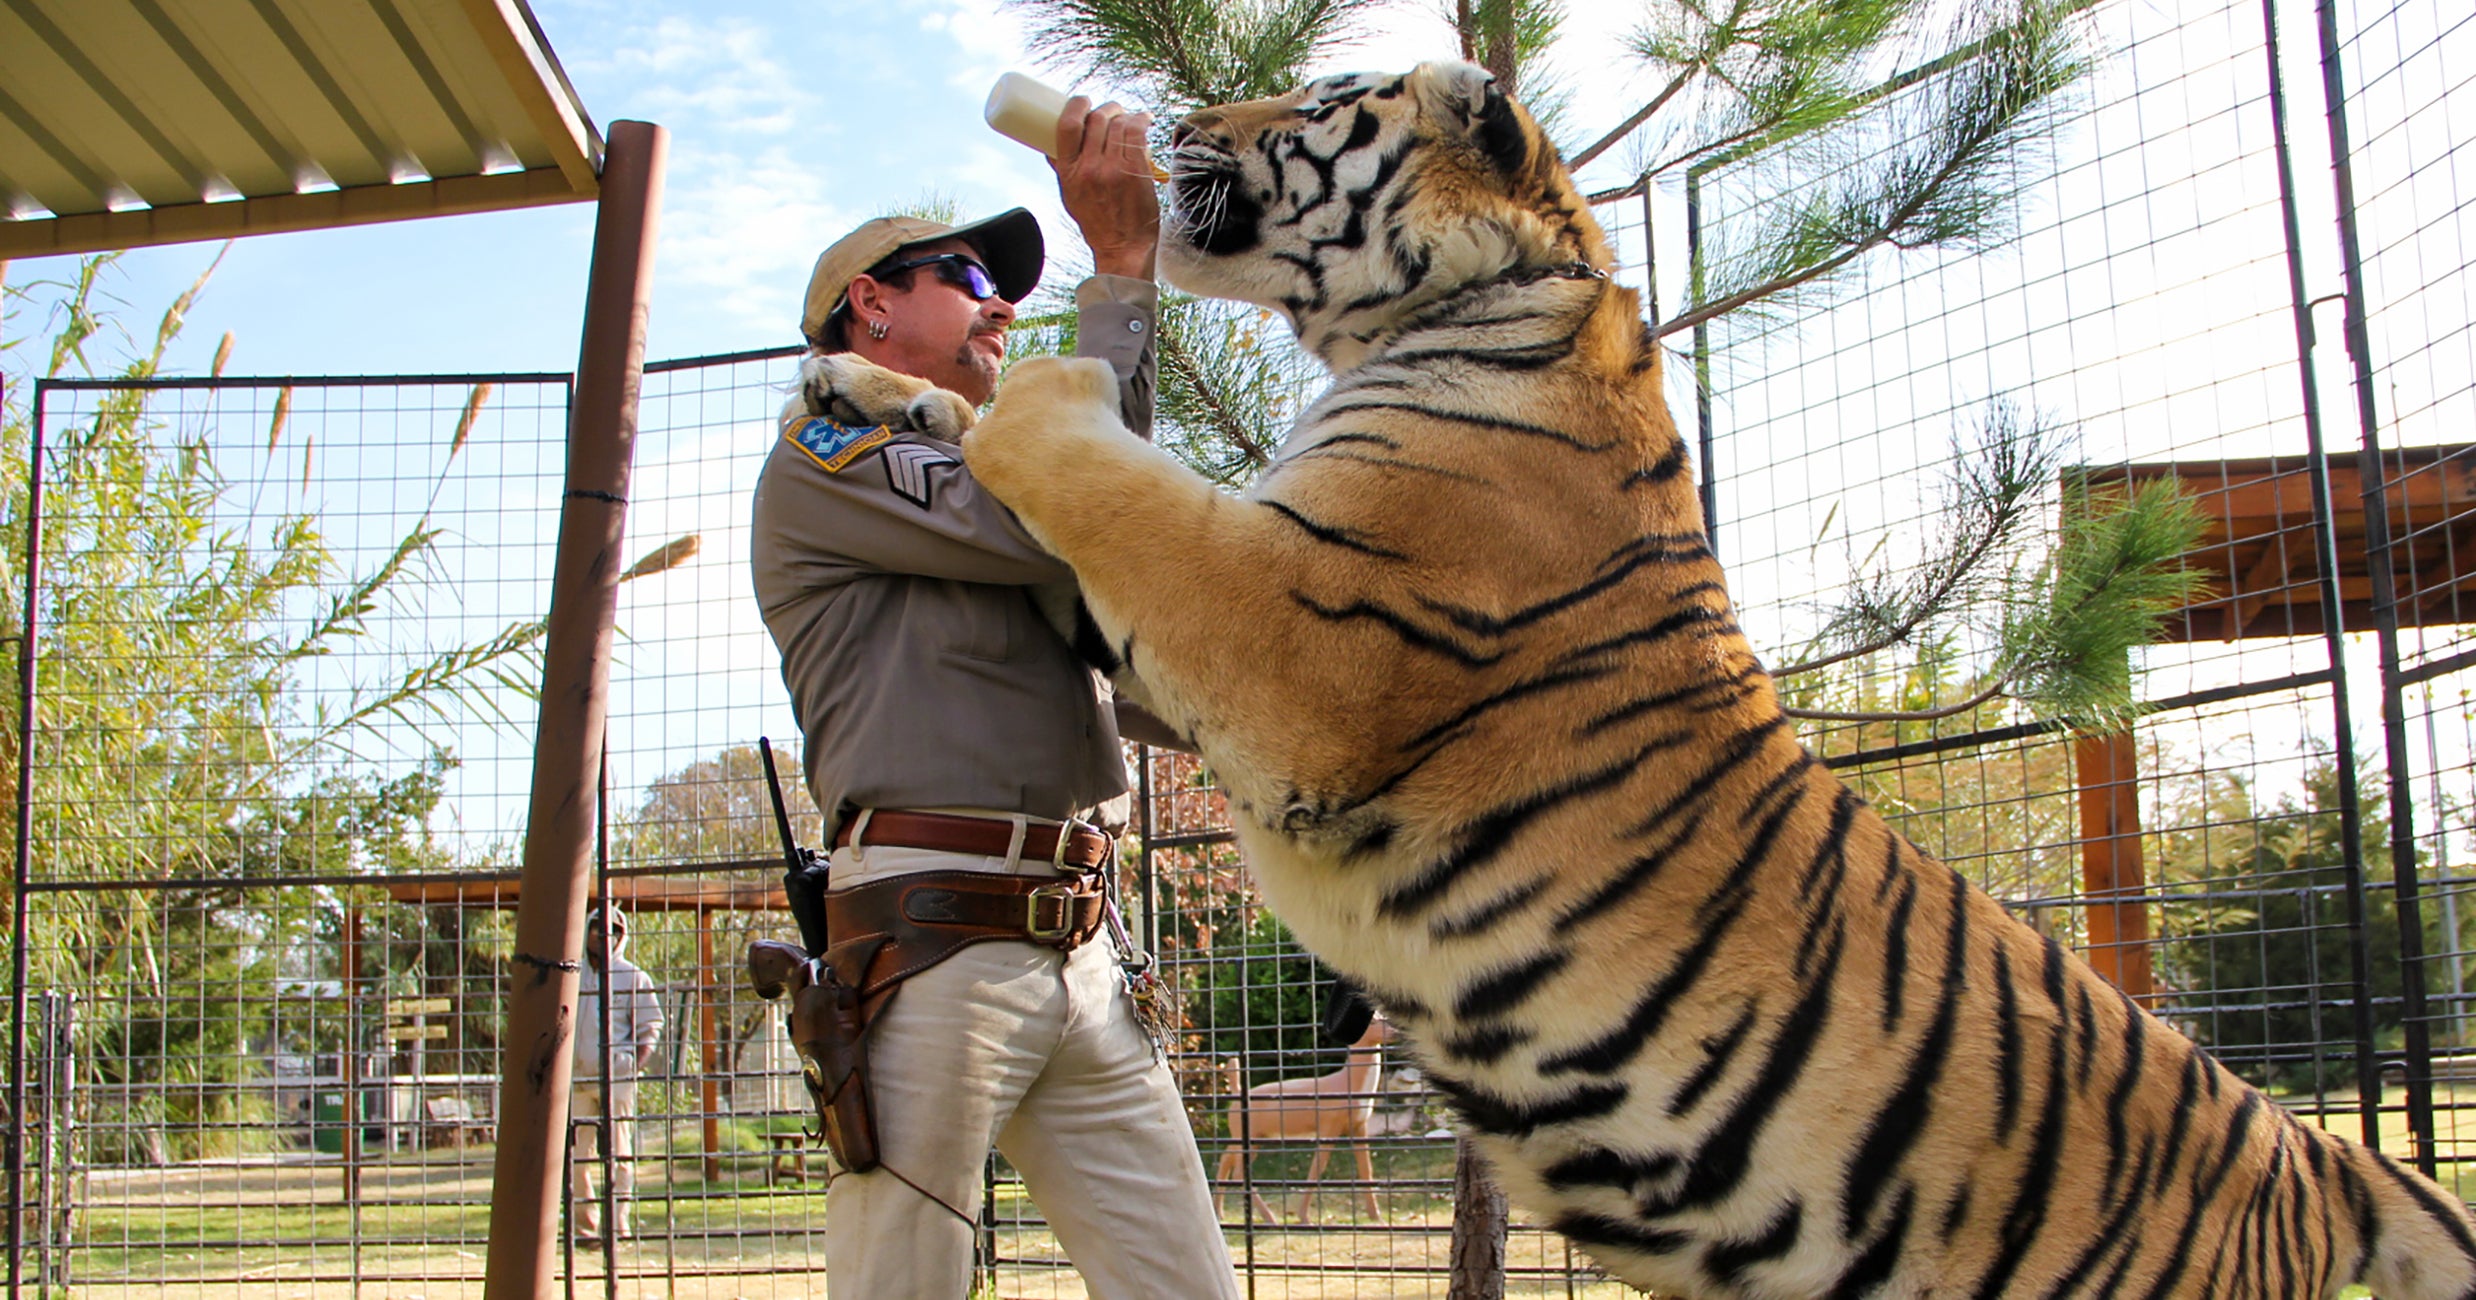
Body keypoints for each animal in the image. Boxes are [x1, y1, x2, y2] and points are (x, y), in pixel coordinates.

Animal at [797, 58, 2476, 1287]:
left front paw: (1021, 380)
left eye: (1317, 98)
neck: (1468, 303)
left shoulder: (1291, 632)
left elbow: (1084, 453)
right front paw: (862, 379)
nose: (1181, 122)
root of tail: (2316, 1154)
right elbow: (983, 440)